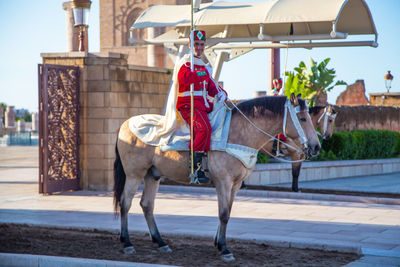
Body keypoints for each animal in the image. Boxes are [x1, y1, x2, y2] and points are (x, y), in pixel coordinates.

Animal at [114, 94, 320, 264]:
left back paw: (161, 242)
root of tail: (126, 123)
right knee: (125, 203)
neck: (237, 134)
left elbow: (227, 211)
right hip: (134, 174)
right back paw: (127, 243)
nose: (316, 147)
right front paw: (224, 248)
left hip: (152, 175)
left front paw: (218, 242)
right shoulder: (223, 182)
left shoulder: (235, 184)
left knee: (147, 205)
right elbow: (223, 214)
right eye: (302, 118)